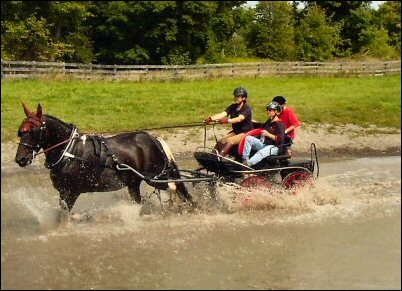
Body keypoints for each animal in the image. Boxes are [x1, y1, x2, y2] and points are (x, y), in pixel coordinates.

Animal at [12, 102, 195, 217]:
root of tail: (153, 139)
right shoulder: (63, 193)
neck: (70, 152)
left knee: (176, 187)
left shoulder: (71, 192)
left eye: (34, 131)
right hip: (134, 183)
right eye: (21, 131)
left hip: (156, 178)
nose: (20, 159)